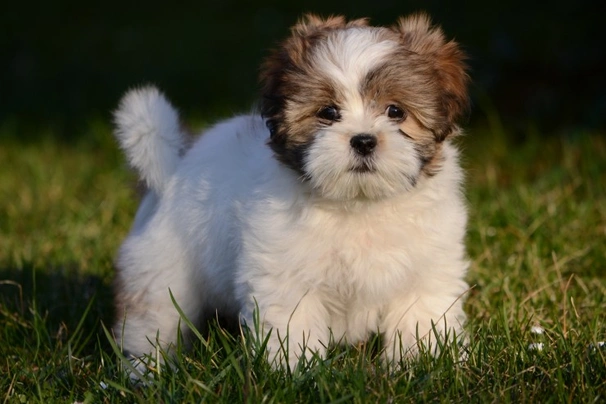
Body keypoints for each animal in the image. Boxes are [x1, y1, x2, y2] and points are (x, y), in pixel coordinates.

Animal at [111, 12, 472, 372]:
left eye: (395, 111)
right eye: (328, 112)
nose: (363, 140)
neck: (359, 204)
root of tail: (176, 165)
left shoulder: (427, 270)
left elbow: (422, 317)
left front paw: (424, 363)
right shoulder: (285, 276)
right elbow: (294, 326)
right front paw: (297, 372)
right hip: (161, 270)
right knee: (154, 320)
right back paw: (148, 369)